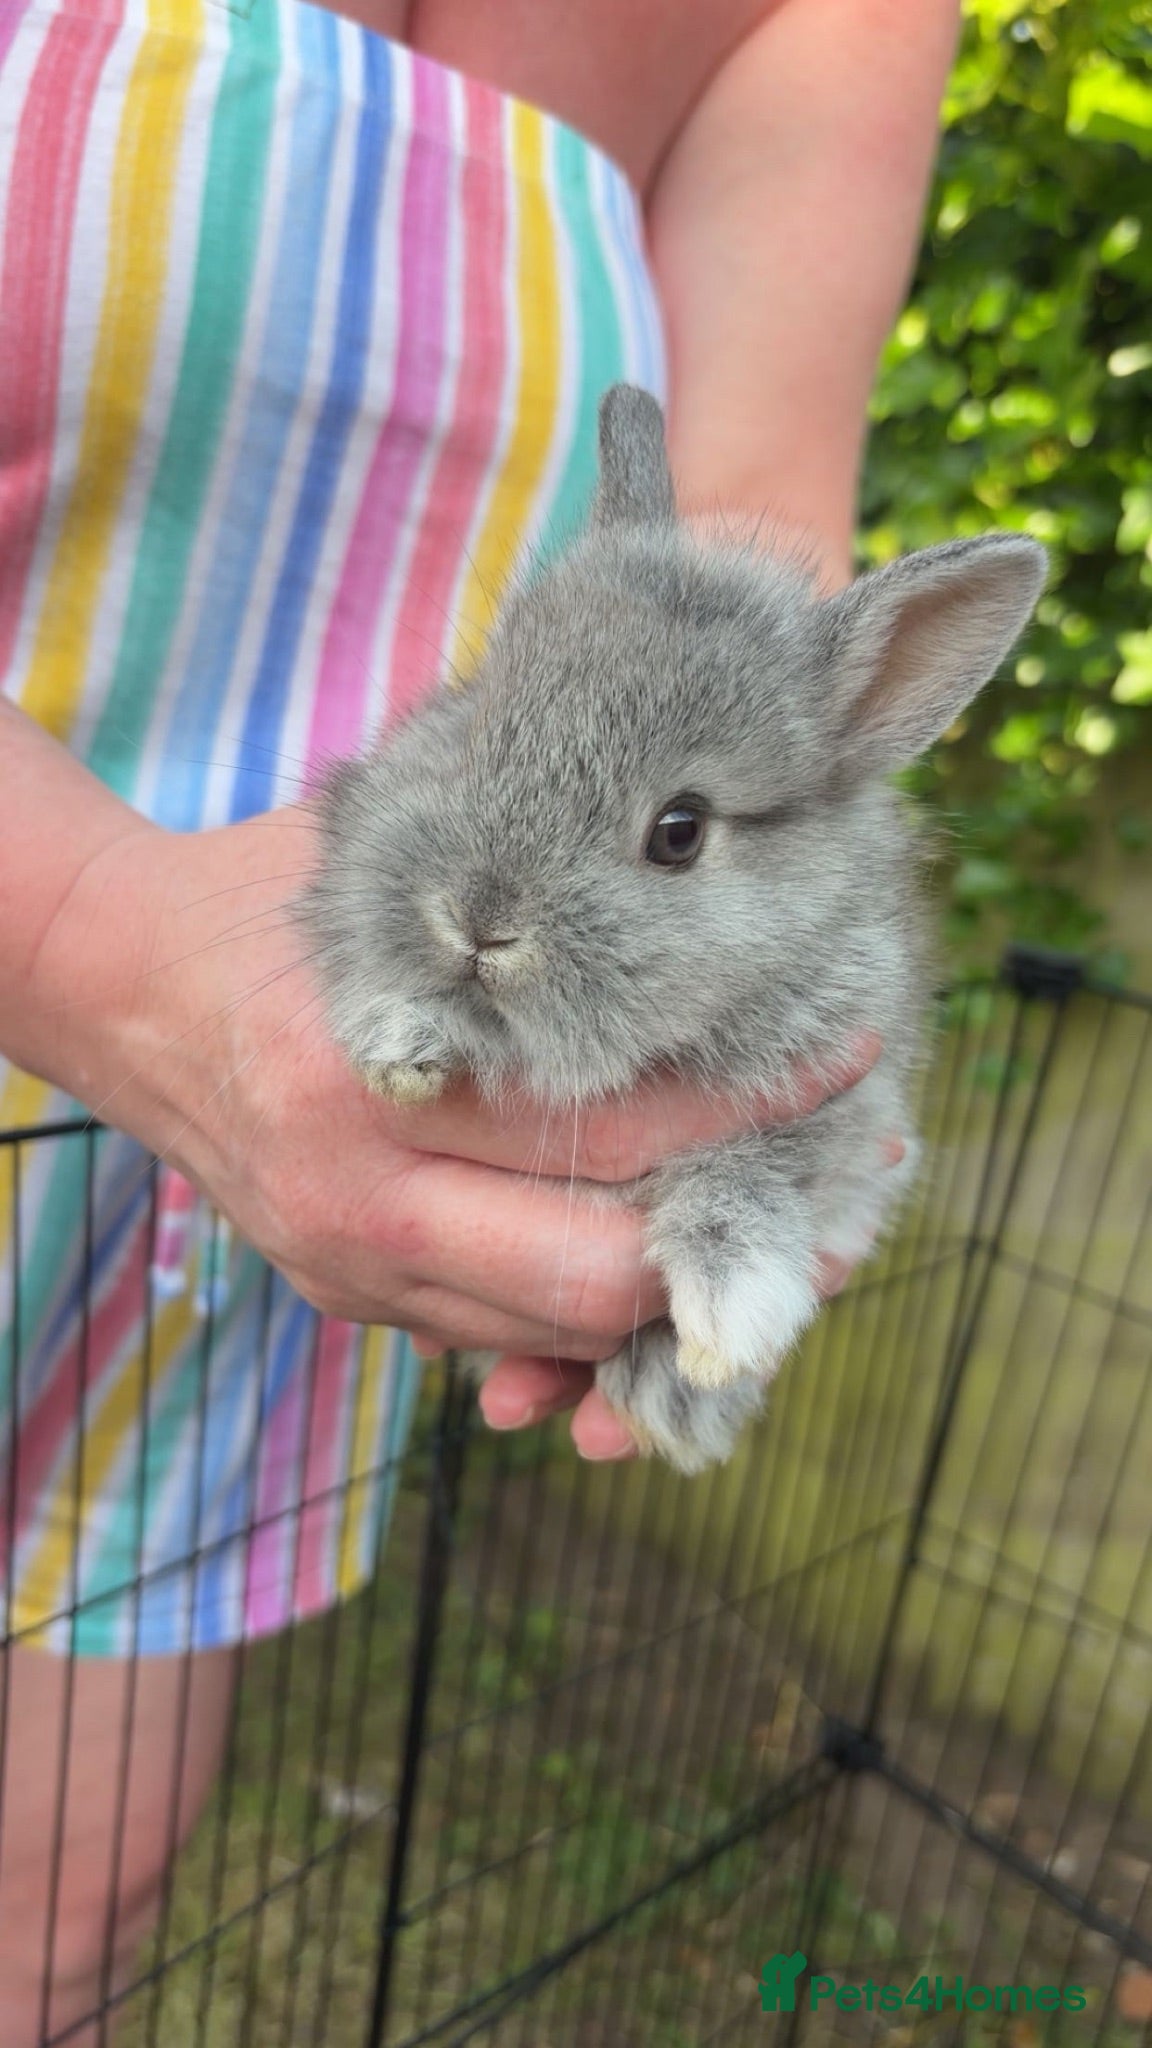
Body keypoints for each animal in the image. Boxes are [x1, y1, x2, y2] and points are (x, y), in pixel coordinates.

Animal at [299, 385, 1046, 1472]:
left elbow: (745, 1177)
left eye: (680, 830)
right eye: (477, 726)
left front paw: (725, 1326)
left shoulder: (834, 1112)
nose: (478, 919)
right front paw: (400, 1037)